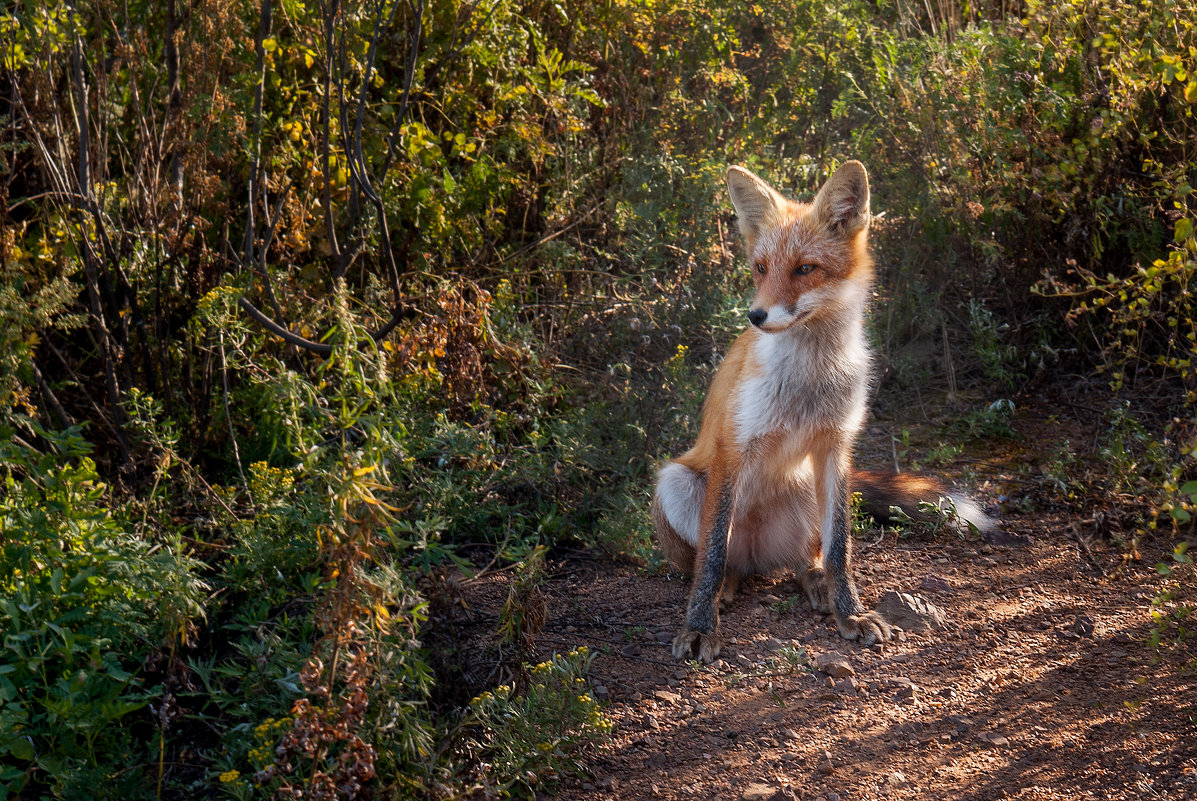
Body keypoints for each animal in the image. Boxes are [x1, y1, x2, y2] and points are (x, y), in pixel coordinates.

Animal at [655, 159, 991, 660]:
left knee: (808, 557)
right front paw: (699, 627)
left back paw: (813, 581)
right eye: (760, 268)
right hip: (676, 482)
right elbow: (711, 554)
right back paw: (727, 587)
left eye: (805, 269)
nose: (755, 316)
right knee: (721, 562)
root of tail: (758, 556)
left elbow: (840, 551)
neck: (809, 381)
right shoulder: (733, 449)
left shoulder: (836, 446)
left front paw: (849, 613)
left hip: (808, 495)